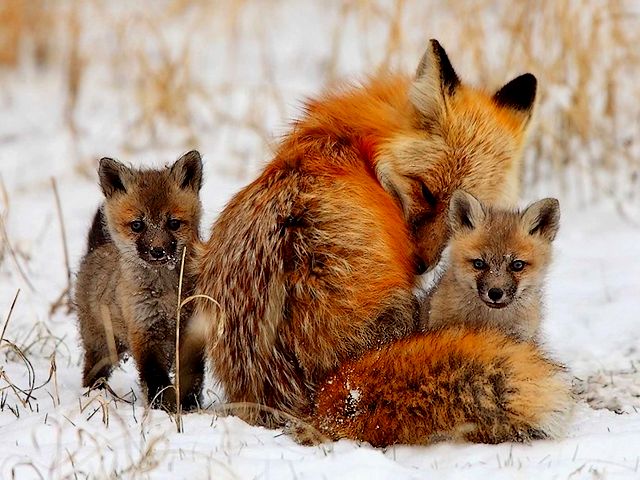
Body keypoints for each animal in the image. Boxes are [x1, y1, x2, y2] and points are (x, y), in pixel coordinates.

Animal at [74, 150, 205, 410]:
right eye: (137, 225)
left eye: (173, 223)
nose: (158, 251)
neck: (167, 295)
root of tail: (95, 250)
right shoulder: (144, 332)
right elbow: (156, 379)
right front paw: (163, 409)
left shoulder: (191, 330)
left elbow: (192, 376)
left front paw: (189, 407)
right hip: (103, 347)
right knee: (91, 374)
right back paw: (94, 397)